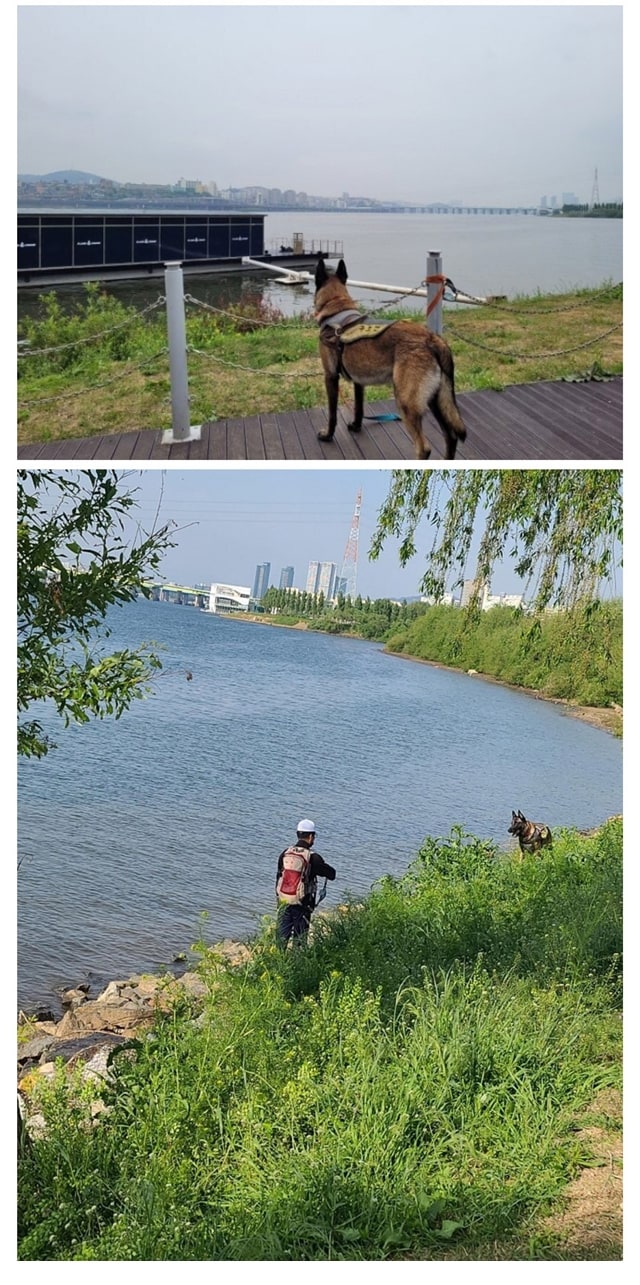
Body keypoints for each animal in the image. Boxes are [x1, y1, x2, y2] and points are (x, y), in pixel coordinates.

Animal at [313, 257, 465, 462]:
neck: (336, 307)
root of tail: (432, 339)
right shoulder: (359, 382)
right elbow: (358, 408)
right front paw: (356, 426)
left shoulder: (330, 376)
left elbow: (332, 414)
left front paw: (328, 435)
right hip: (436, 400)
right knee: (450, 435)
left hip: (406, 402)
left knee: (424, 448)